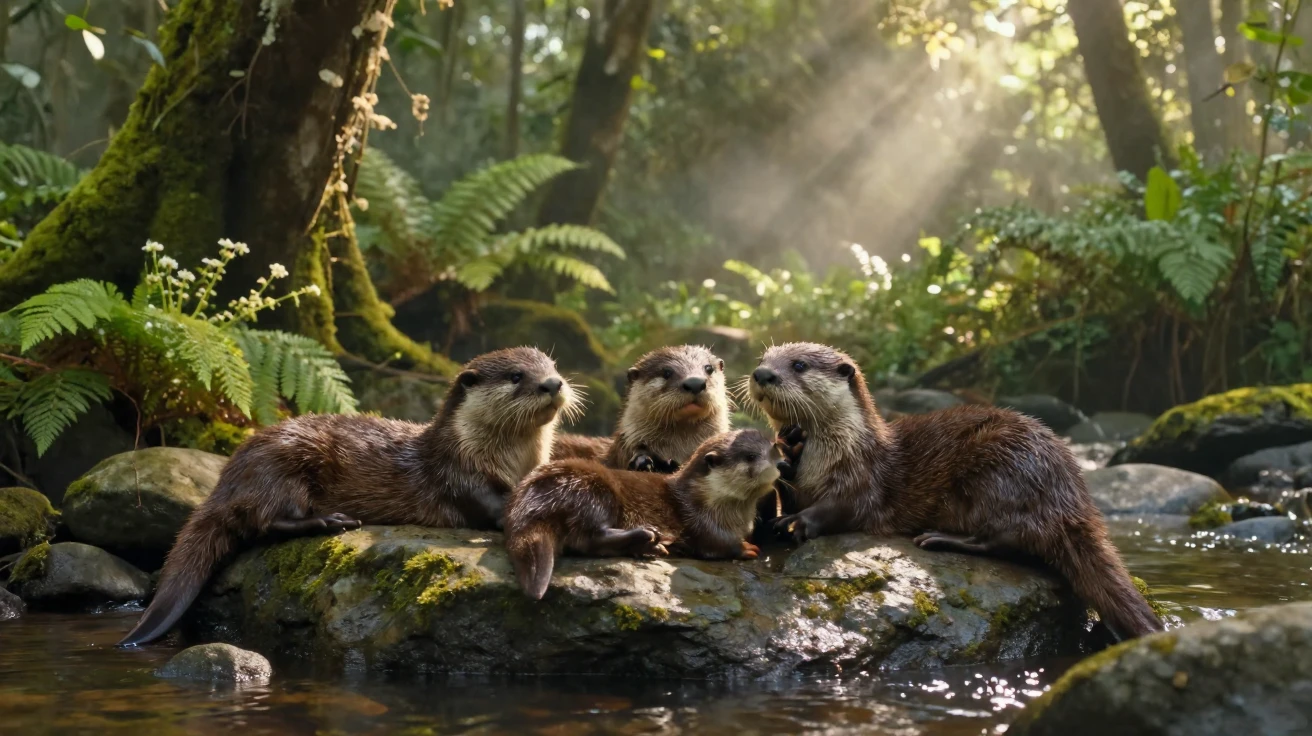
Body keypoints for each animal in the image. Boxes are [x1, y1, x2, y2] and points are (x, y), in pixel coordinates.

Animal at [119, 347, 577, 647]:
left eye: (553, 366)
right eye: (516, 376)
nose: (552, 383)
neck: (503, 458)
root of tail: (225, 480)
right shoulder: (460, 475)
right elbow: (495, 507)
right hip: (281, 466)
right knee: (264, 521)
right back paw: (330, 521)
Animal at [506, 429, 785, 600]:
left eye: (774, 448)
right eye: (750, 456)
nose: (781, 463)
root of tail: (528, 501)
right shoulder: (696, 518)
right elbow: (714, 542)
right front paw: (745, 548)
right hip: (592, 489)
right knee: (589, 538)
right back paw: (648, 537)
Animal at [748, 342, 1162, 640]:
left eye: (799, 365)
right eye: (763, 358)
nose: (762, 373)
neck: (835, 450)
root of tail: (1073, 497)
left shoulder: (863, 476)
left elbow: (843, 507)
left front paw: (796, 522)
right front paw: (787, 450)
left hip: (1000, 471)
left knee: (1005, 540)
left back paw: (939, 538)